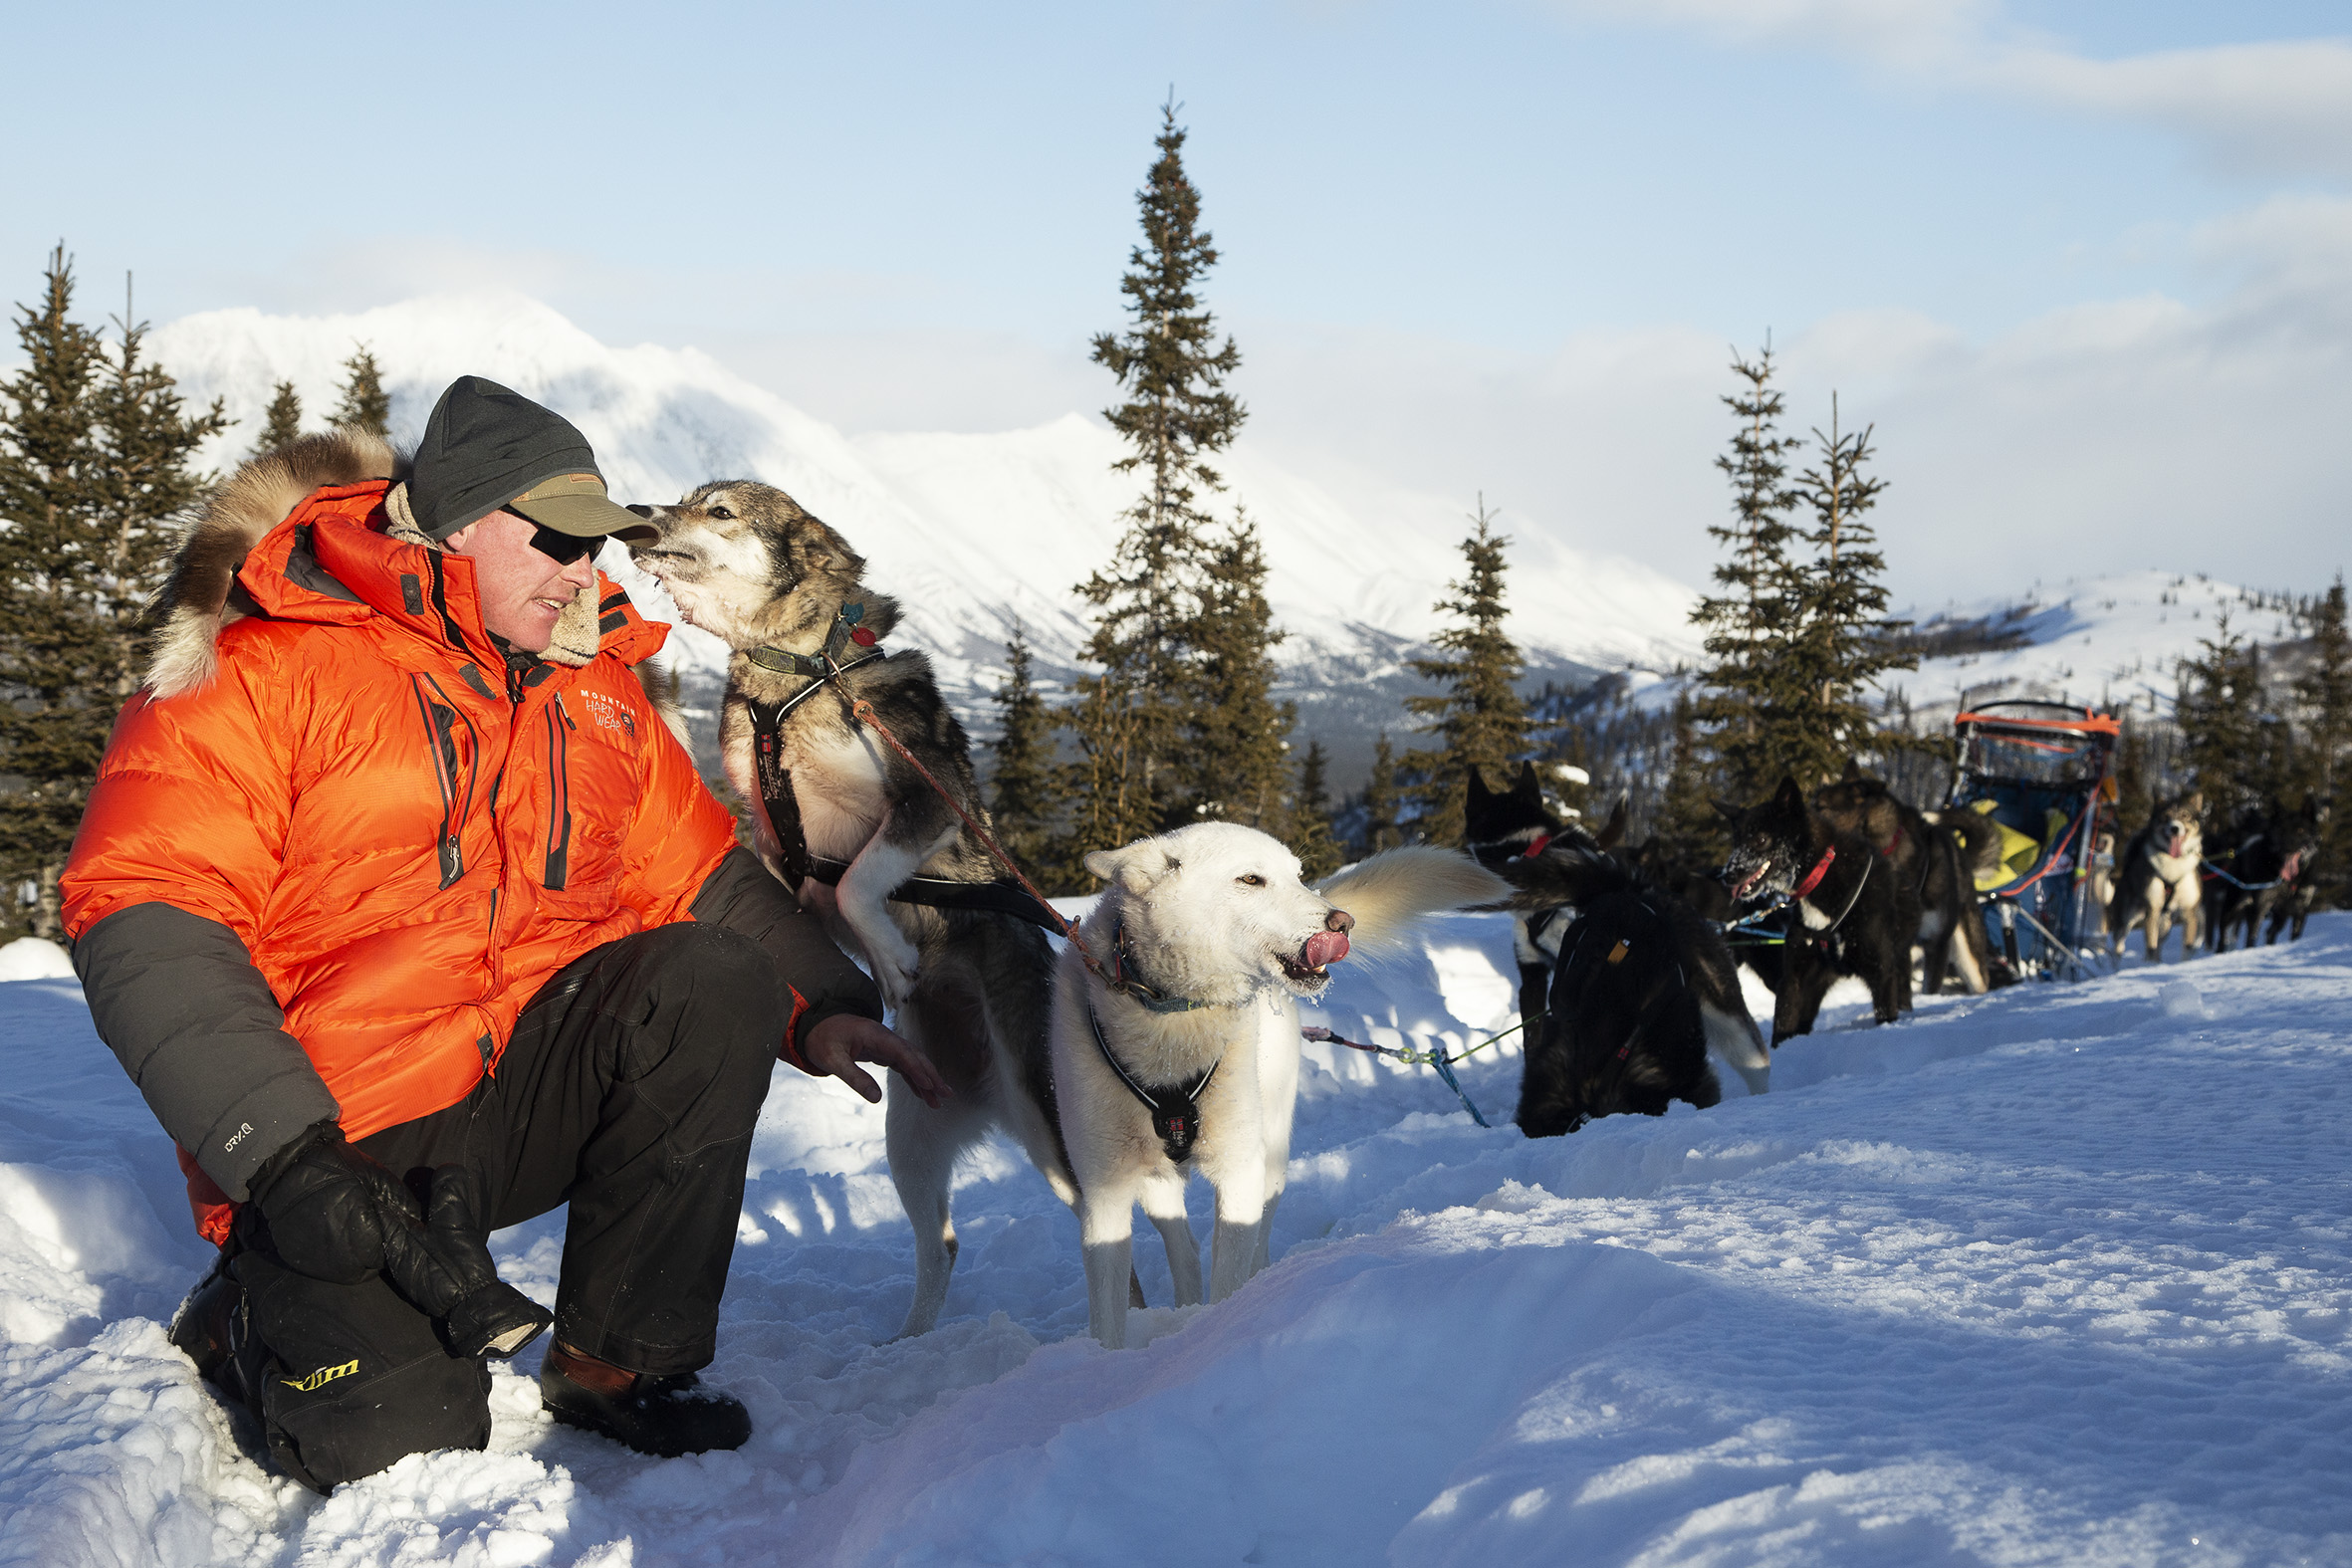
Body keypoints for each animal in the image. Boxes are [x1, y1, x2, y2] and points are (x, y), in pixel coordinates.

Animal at [625, 482, 1067, 1335]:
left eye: (719, 510)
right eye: (684, 498)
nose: (634, 516)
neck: (793, 676)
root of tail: (987, 1093)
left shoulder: (928, 801)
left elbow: (862, 877)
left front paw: (891, 956)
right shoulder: (774, 847)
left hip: (1046, 1114)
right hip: (911, 1137)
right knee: (944, 1246)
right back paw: (911, 1342)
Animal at [1054, 822, 1496, 1354]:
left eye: (1299, 876)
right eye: (1251, 879)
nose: (1341, 922)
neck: (1172, 1027)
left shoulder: (1238, 1171)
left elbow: (1232, 1267)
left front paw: (1215, 1332)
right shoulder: (1104, 1196)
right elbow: (1108, 1317)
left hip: (1271, 1152)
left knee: (1257, 1233)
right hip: (1154, 1182)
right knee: (1183, 1243)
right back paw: (1184, 1310)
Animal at [1721, 776, 1919, 1043]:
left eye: (1761, 839)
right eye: (1736, 842)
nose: (1726, 875)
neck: (1821, 876)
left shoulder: (1881, 973)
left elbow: (1885, 1013)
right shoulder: (1793, 978)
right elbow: (1783, 1026)